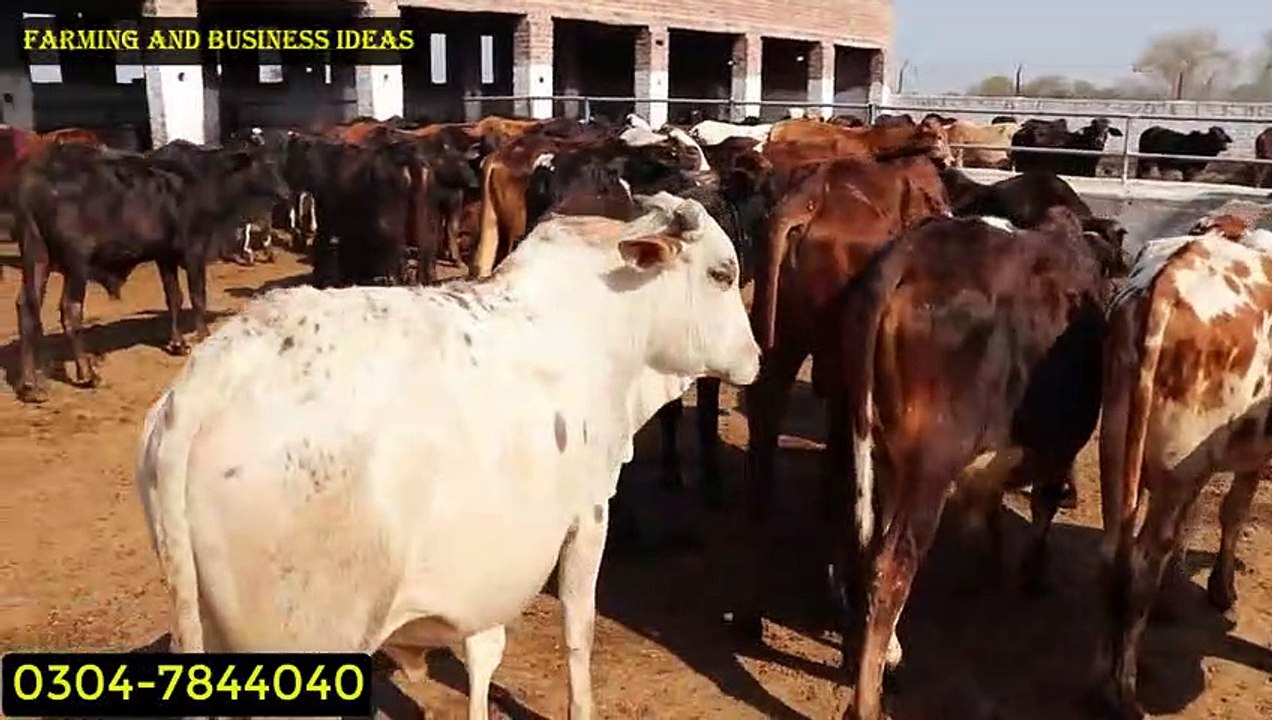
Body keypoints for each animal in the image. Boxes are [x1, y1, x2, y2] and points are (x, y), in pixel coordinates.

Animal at [11, 141, 288, 403]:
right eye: (267, 163)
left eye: (276, 161)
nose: (285, 192)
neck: (206, 178)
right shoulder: (194, 250)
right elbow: (198, 297)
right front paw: (203, 337)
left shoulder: (164, 255)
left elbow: (174, 297)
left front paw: (178, 343)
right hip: (77, 261)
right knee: (70, 309)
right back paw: (87, 373)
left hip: (36, 255)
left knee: (26, 307)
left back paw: (30, 386)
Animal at [133, 192, 760, 720]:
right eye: (722, 274)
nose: (754, 358)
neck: (609, 324)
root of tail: (205, 385)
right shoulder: (587, 517)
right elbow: (578, 632)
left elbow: (484, 648)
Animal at [826, 207, 1120, 720]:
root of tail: (904, 257)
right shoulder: (1057, 449)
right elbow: (1044, 504)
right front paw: (1031, 571)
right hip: (932, 461)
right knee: (894, 563)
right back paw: (868, 702)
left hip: (878, 449)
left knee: (870, 543)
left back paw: (892, 655)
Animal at [1097, 214, 1272, 720]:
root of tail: (1169, 282)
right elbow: (1232, 511)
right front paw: (1221, 587)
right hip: (1176, 464)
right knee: (1139, 567)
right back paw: (1124, 693)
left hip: (1118, 448)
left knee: (1113, 558)